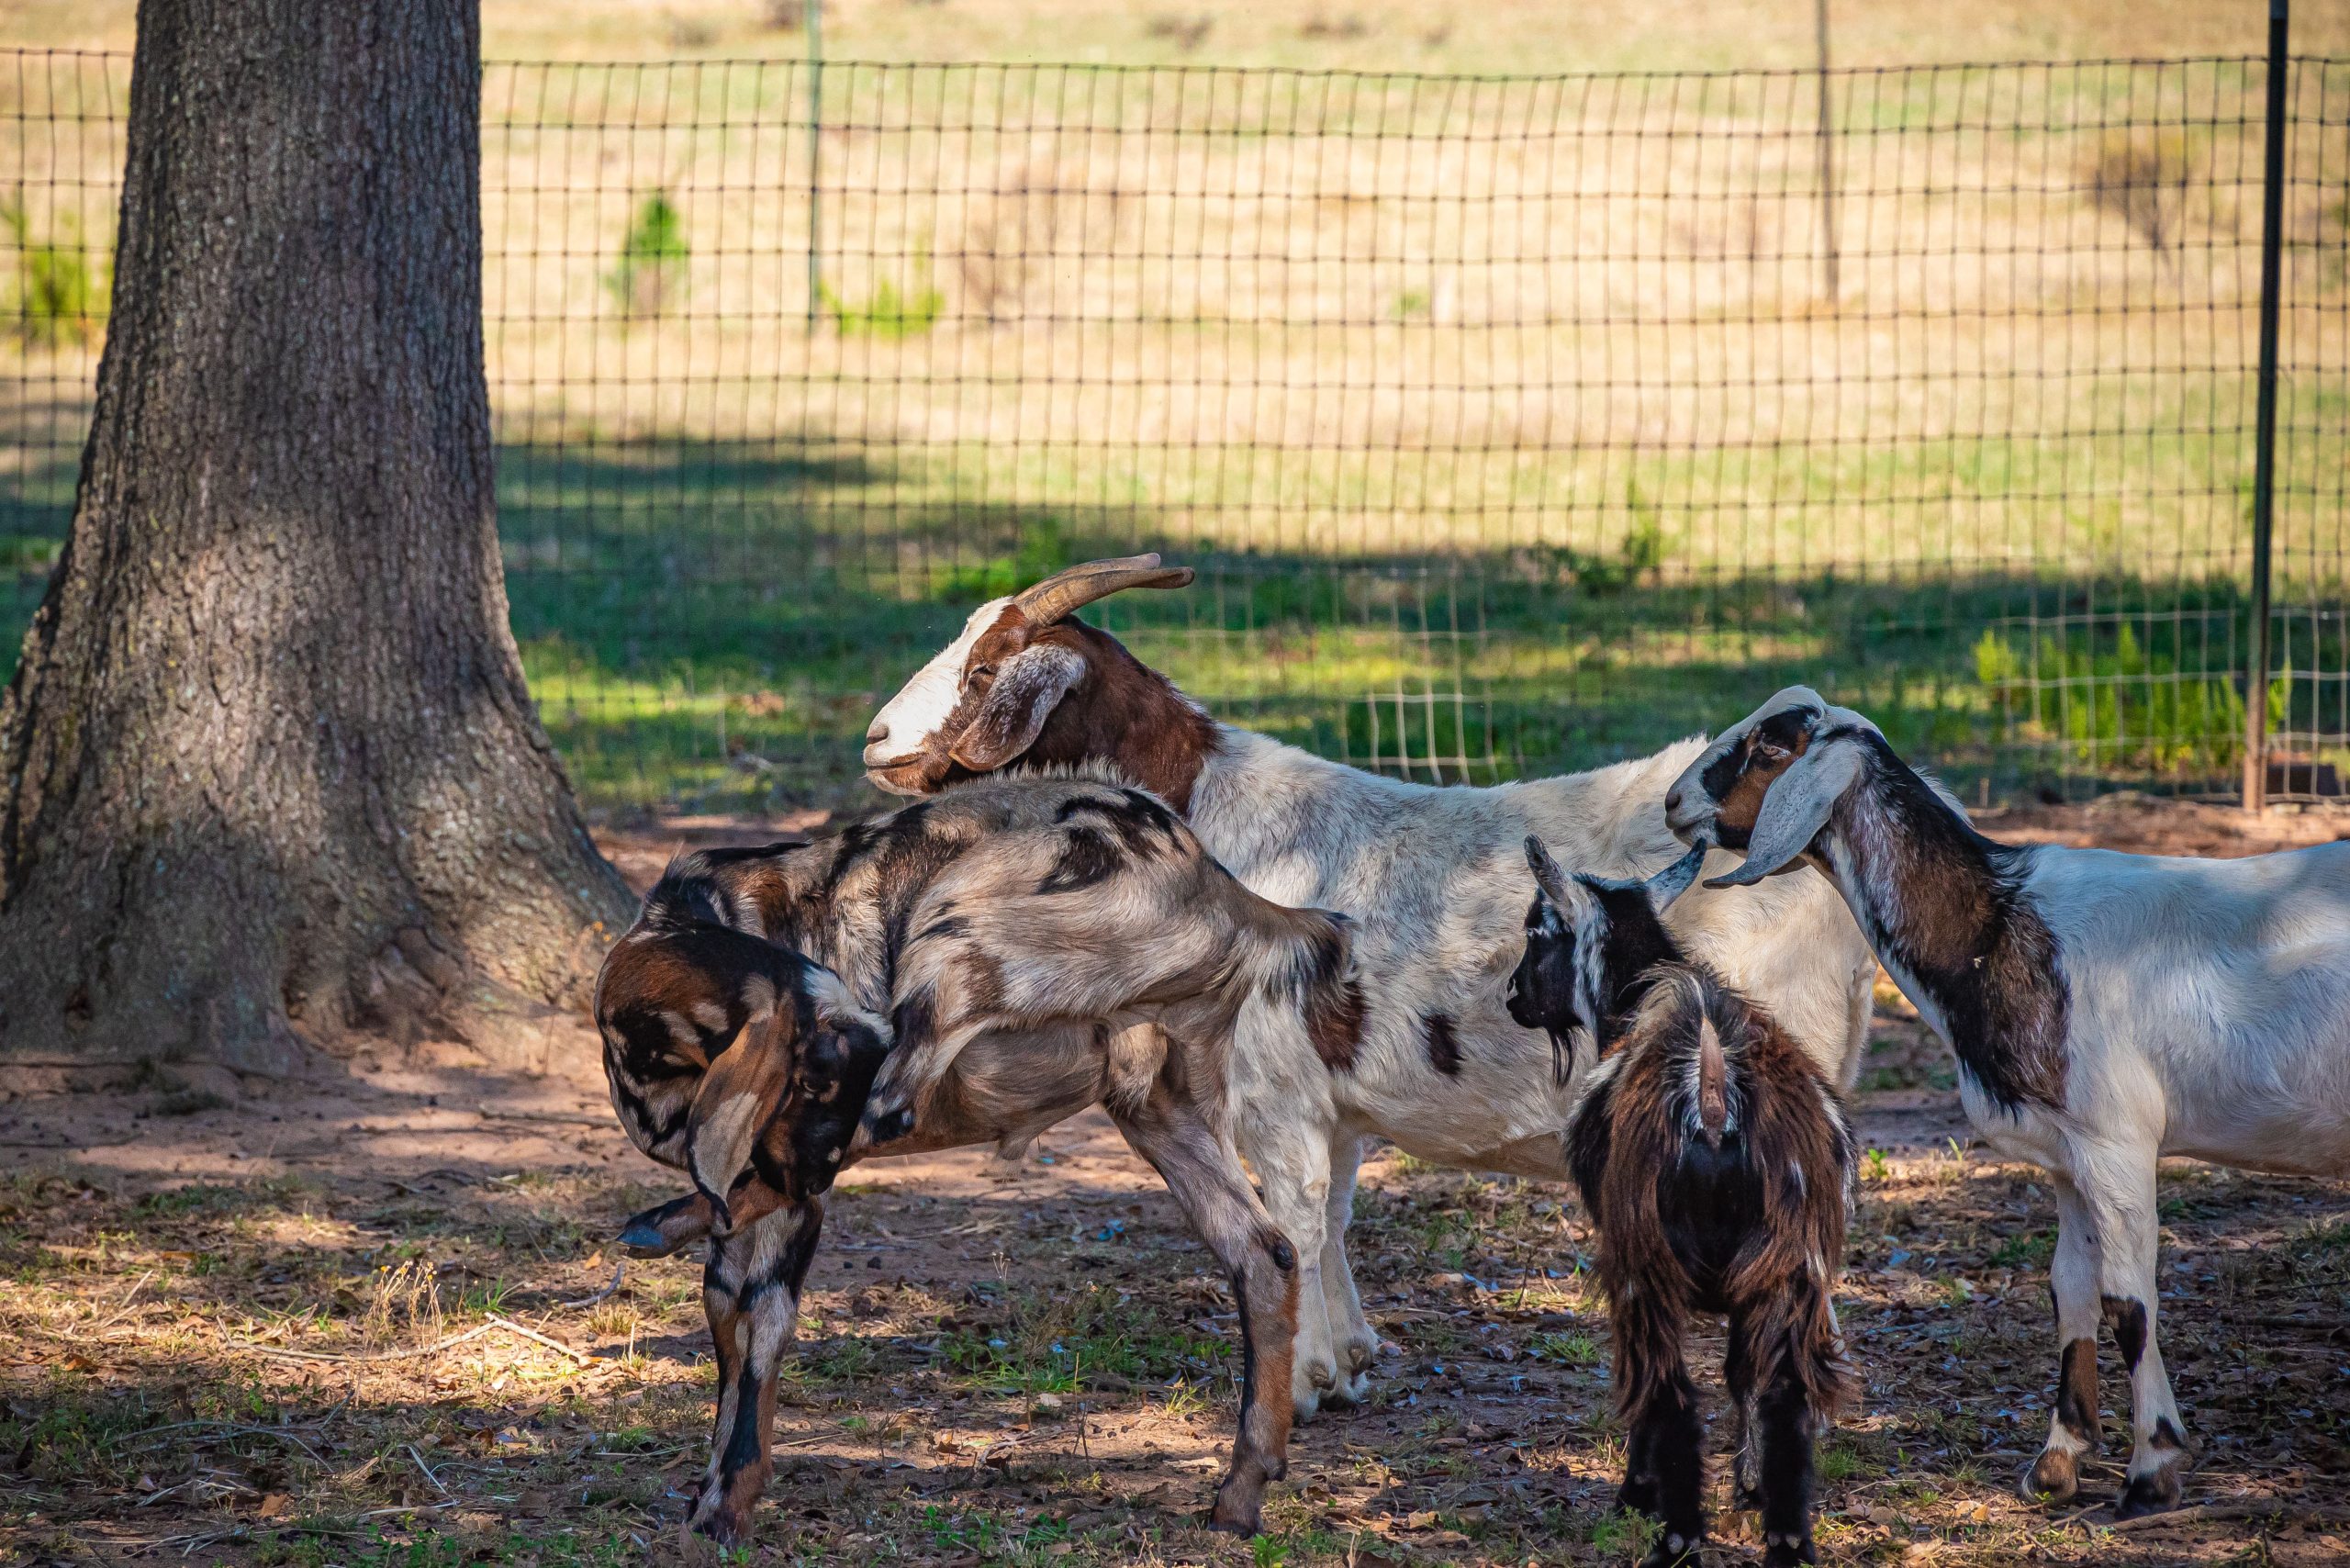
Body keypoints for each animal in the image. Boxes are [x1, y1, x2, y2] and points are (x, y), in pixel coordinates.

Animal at [595, 776, 1357, 1544]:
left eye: (817, 1073)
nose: (808, 1169)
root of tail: (1213, 880)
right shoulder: (758, 1177)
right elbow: (730, 1312)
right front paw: (716, 1488)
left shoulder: (791, 1182)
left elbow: (759, 1319)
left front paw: (728, 1501)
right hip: (1160, 1114)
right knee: (1266, 1255)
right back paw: (1242, 1490)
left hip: (948, 938)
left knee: (893, 1109)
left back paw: (656, 1225)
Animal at [861, 555, 1879, 1420]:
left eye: (984, 671)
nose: (874, 740)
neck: (1209, 820)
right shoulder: (1331, 1095)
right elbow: (1335, 1213)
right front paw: (1347, 1359)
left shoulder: (1270, 1082)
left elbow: (1293, 1217)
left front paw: (1301, 1379)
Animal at [1509, 836, 1854, 1568]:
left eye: (1537, 932)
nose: (1513, 997)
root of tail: (1714, 1098)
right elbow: (1742, 1377)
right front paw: (1747, 1490)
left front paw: (1635, 1495)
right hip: (1790, 1263)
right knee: (1783, 1394)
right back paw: (1787, 1540)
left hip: (1647, 1264)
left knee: (1670, 1395)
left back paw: (1677, 1538)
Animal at [1665, 686, 2350, 1518]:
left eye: (1770, 748)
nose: (1673, 802)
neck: (1997, 929)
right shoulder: (2068, 1156)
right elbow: (2071, 1292)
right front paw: (2057, 1462)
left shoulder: (2116, 1143)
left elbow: (2129, 1303)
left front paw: (2152, 1467)